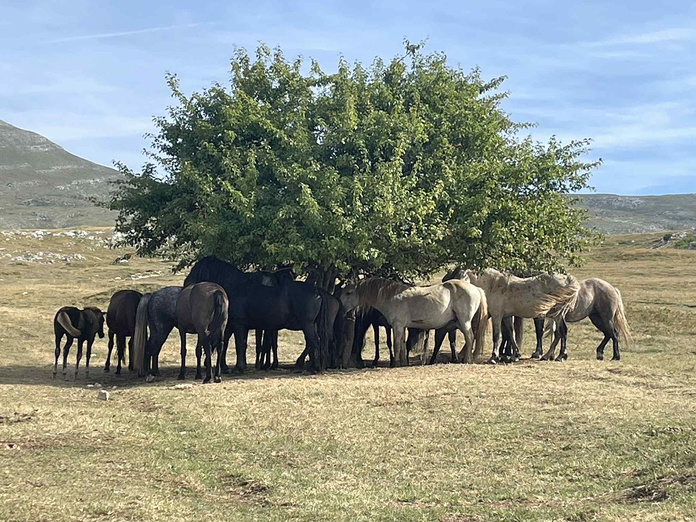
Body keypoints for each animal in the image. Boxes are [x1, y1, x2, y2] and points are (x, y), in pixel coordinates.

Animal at [184, 257, 330, 373]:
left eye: (197, 269)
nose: (186, 283)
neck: (237, 287)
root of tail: (317, 290)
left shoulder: (238, 325)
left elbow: (240, 345)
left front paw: (238, 368)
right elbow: (241, 344)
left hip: (307, 324)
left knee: (314, 341)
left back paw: (315, 368)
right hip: (310, 325)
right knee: (313, 342)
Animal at [340, 277, 488, 366]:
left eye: (348, 292)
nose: (341, 307)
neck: (392, 296)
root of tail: (476, 288)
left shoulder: (397, 326)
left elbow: (396, 345)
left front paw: (395, 364)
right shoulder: (402, 327)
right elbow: (402, 345)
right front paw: (402, 363)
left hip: (464, 322)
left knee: (470, 337)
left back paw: (467, 360)